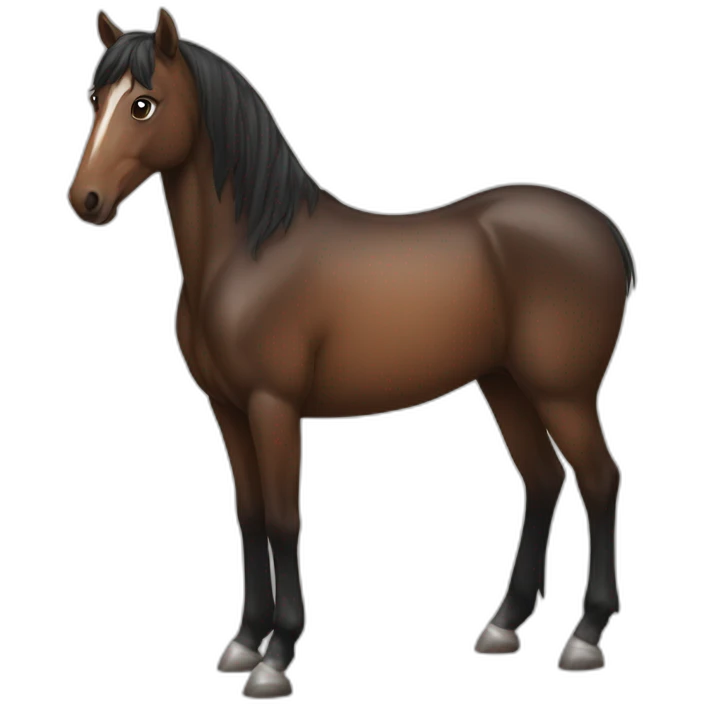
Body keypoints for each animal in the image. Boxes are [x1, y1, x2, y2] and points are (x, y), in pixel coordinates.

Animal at [68, 8, 635, 698]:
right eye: (96, 99)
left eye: (143, 104)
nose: (85, 200)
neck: (250, 254)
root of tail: (605, 234)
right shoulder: (228, 410)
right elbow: (248, 516)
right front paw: (242, 642)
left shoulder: (273, 407)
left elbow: (283, 519)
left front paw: (275, 658)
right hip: (504, 385)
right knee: (544, 479)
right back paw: (502, 628)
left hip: (563, 394)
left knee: (600, 481)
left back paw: (585, 638)